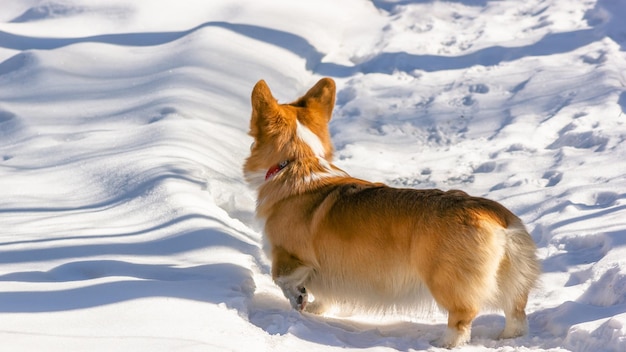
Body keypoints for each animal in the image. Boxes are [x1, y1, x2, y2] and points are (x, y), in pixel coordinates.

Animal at [241, 76, 540, 346]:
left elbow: (283, 280)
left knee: (462, 318)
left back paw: (443, 343)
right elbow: (323, 294)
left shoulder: (289, 256)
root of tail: (498, 218)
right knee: (516, 314)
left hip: (446, 280)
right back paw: (506, 338)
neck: (298, 162)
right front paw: (315, 309)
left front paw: (300, 300)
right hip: (512, 282)